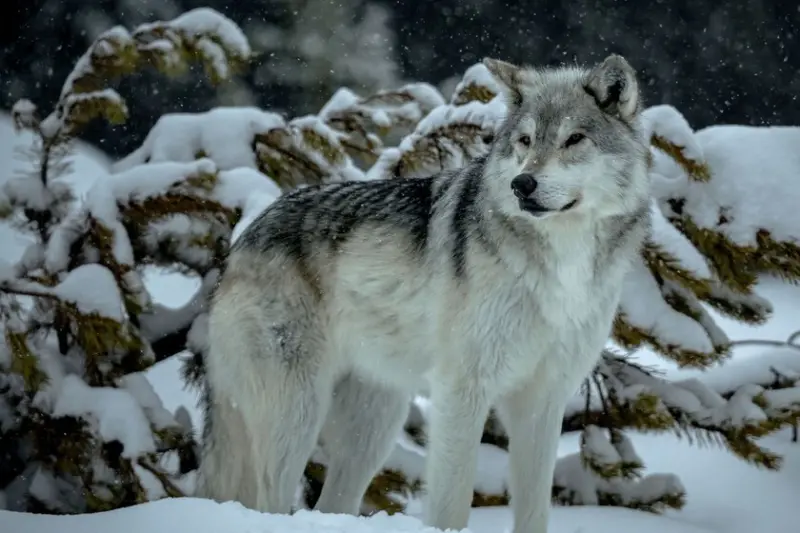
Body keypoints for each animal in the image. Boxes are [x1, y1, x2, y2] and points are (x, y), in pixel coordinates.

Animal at [197, 54, 651, 533]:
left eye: (574, 139)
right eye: (525, 140)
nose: (523, 184)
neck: (562, 263)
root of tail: (242, 240)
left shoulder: (542, 400)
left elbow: (534, 510)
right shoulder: (462, 389)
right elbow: (452, 504)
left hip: (373, 428)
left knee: (331, 504)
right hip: (297, 415)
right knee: (269, 503)